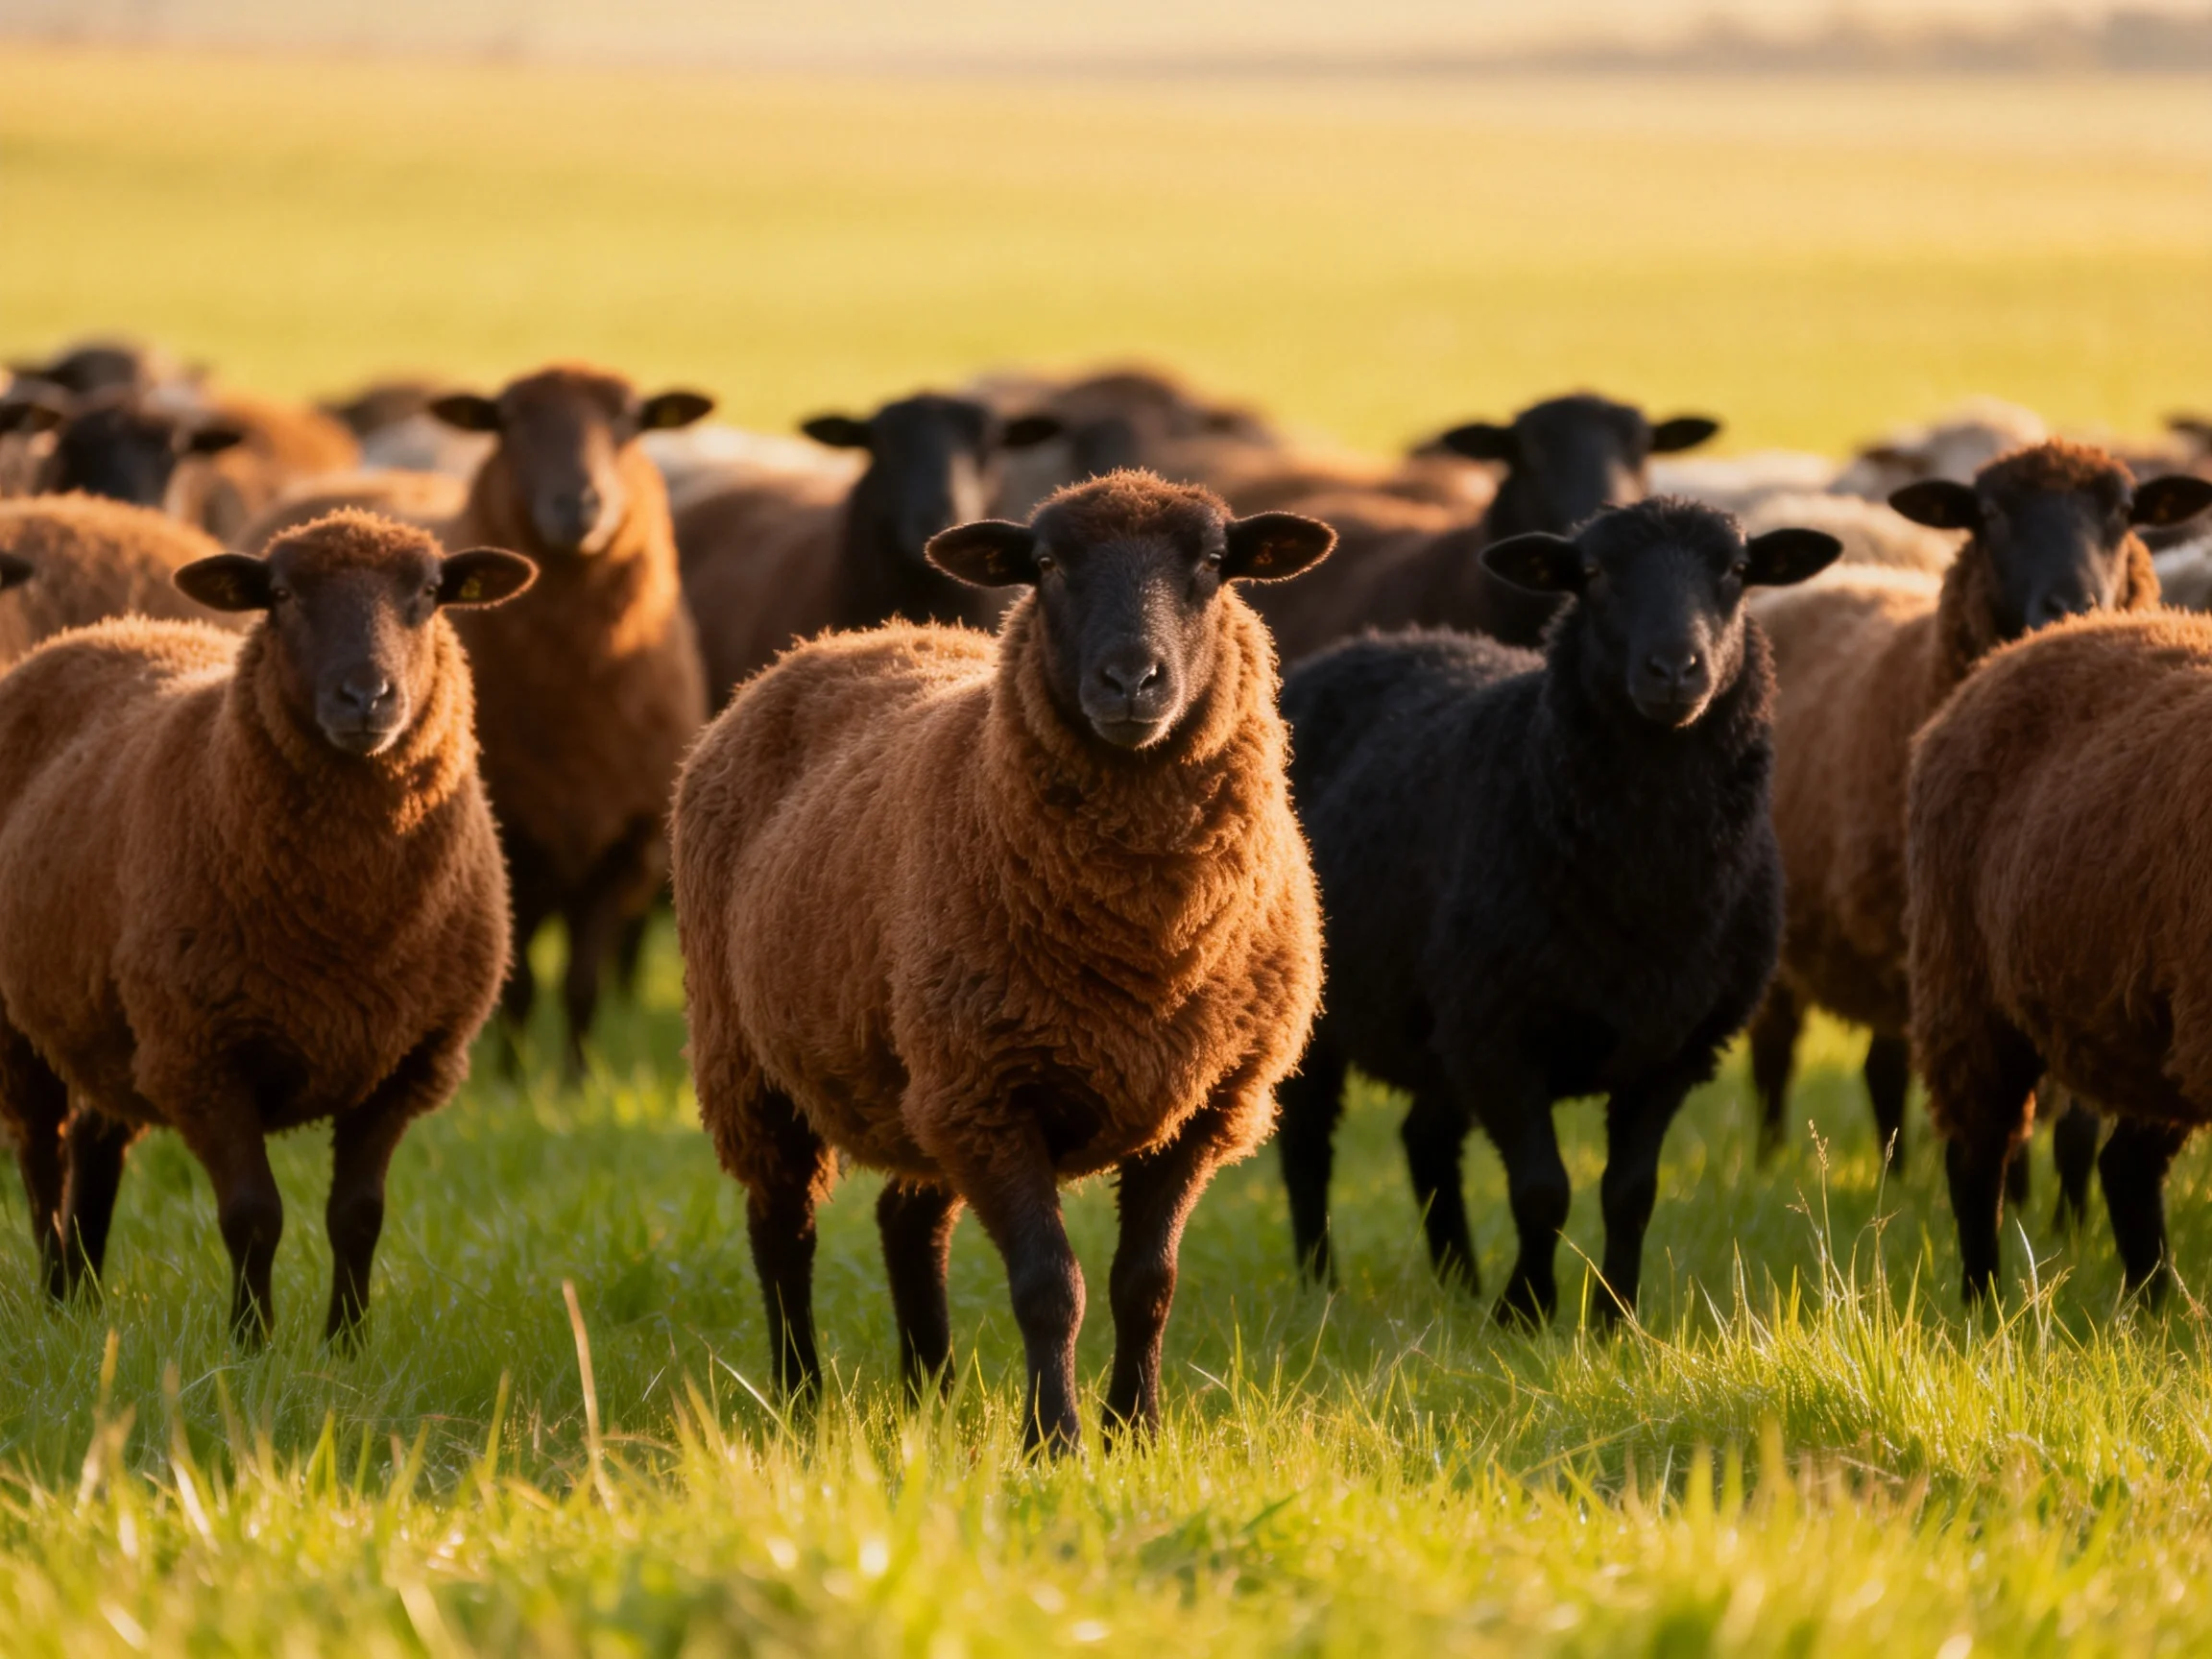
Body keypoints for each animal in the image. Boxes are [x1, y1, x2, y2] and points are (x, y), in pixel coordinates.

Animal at [426, 364, 715, 1068]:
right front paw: (512, 1077)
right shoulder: (512, 846)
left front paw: (577, 1078)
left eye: (629, 422)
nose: (578, 506)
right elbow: (521, 986)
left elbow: (582, 984)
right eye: (510, 422)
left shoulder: (627, 849)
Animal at [673, 470, 1333, 1453]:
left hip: (920, 1079)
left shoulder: (1206, 1104)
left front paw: (1134, 1431)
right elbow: (1050, 1288)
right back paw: (800, 1399)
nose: (1132, 680)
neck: (1148, 942)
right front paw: (1053, 1441)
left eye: (1215, 562)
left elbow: (1148, 1285)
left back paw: (930, 1396)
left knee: (907, 1222)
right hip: (752, 1062)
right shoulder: (993, 1094)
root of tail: (838, 642)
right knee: (782, 1230)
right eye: (1049, 564)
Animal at [1273, 499, 1839, 1322]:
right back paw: (1322, 1284)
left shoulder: (1674, 1046)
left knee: (1425, 1138)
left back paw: (1458, 1282)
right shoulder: (1500, 1037)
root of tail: (1354, 647)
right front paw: (1526, 1312)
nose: (1675, 669)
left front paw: (1614, 1318)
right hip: (1324, 1011)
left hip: (1443, 1020)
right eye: (1594, 574)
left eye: (1736, 571)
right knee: (1309, 1146)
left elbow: (1630, 1193)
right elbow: (1542, 1191)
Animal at [1745, 444, 2209, 1171]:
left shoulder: (2076, 962)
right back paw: (1783, 1160)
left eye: (2126, 511)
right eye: (1989, 514)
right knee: (1784, 1059)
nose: (2071, 603)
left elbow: (2075, 1124)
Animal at [1905, 605, 2212, 1303]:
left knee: (2124, 1168)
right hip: (1963, 989)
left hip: (2157, 1033)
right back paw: (1982, 1304)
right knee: (1977, 1156)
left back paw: (2159, 1310)